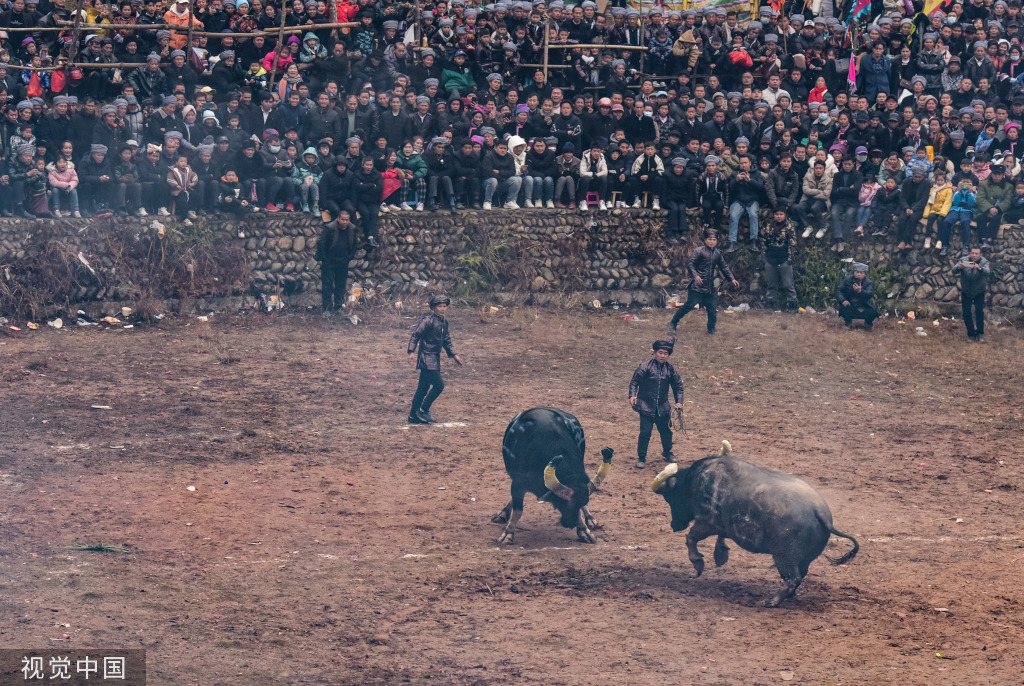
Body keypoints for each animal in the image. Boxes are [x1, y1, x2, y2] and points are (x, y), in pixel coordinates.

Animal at [491, 409, 610, 548]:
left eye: (584, 501)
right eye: (562, 502)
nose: (569, 523)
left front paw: (583, 530)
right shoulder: (517, 484)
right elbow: (518, 511)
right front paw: (508, 534)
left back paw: (590, 519)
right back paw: (502, 513)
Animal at [651, 440, 860, 606]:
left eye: (670, 497)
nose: (674, 525)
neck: (697, 480)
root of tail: (820, 511)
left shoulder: (706, 523)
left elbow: (691, 538)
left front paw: (697, 563)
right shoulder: (721, 526)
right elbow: (720, 537)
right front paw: (720, 555)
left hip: (784, 558)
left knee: (793, 579)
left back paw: (772, 601)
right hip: (803, 559)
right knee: (799, 577)